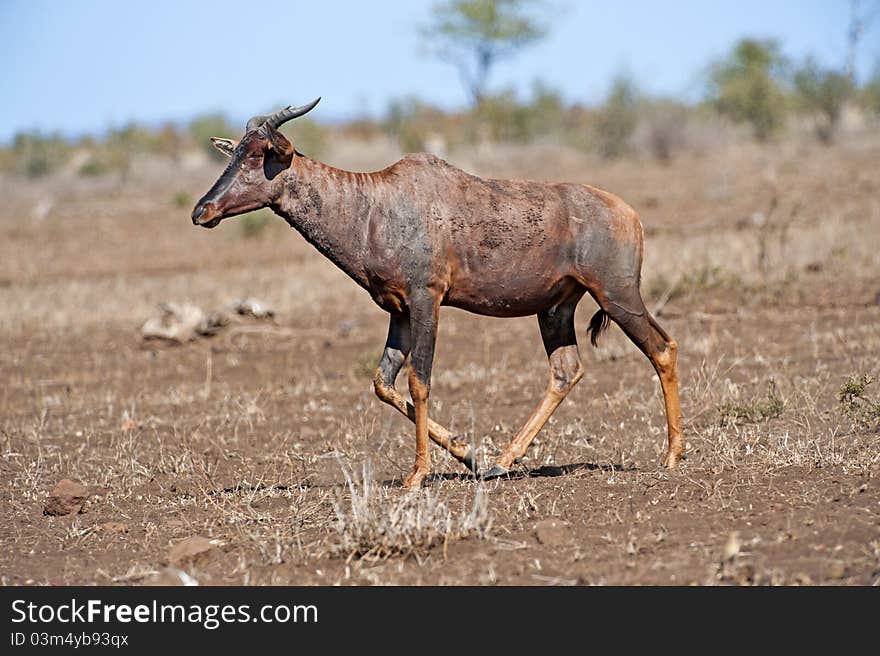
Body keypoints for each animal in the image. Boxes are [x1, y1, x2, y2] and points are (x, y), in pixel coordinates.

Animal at [194, 97, 688, 486]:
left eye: (260, 154)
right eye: (234, 152)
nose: (202, 211)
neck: (376, 202)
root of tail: (629, 213)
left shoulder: (426, 300)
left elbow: (420, 380)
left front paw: (418, 476)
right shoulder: (398, 311)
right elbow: (384, 383)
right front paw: (470, 454)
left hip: (617, 295)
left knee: (662, 348)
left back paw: (670, 456)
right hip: (556, 309)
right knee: (566, 371)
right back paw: (502, 462)